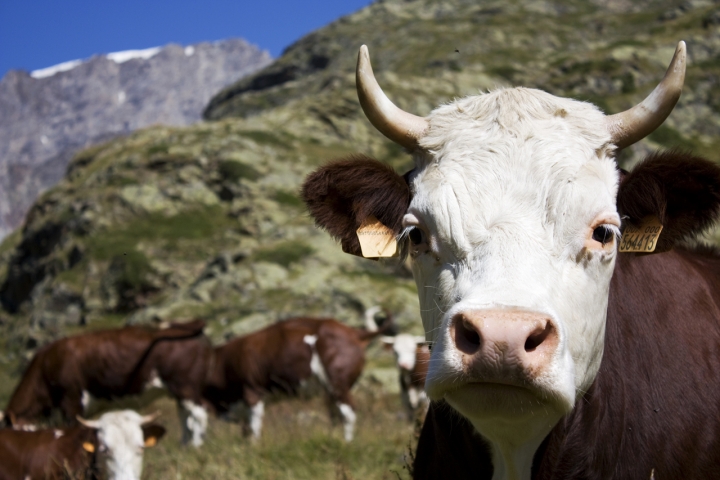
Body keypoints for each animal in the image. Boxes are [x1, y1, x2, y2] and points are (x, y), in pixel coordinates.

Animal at [2, 320, 211, 448]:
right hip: (178, 389)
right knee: (185, 416)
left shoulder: (71, 400)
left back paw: (196, 446)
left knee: (198, 413)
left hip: (184, 384)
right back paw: (184, 445)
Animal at [202, 310, 394, 440]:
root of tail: (353, 332)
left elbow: (254, 427)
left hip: (338, 383)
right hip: (330, 390)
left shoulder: (252, 392)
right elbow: (246, 430)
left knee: (348, 413)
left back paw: (346, 443)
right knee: (336, 415)